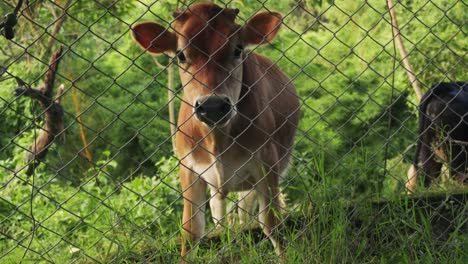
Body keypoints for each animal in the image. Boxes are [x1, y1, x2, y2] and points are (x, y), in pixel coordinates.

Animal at [132, 2, 300, 260]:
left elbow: (272, 224)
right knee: (221, 211)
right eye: (181, 55)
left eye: (237, 49)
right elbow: (191, 232)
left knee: (246, 209)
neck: (217, 140)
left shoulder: (266, 162)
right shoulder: (189, 168)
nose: (212, 106)